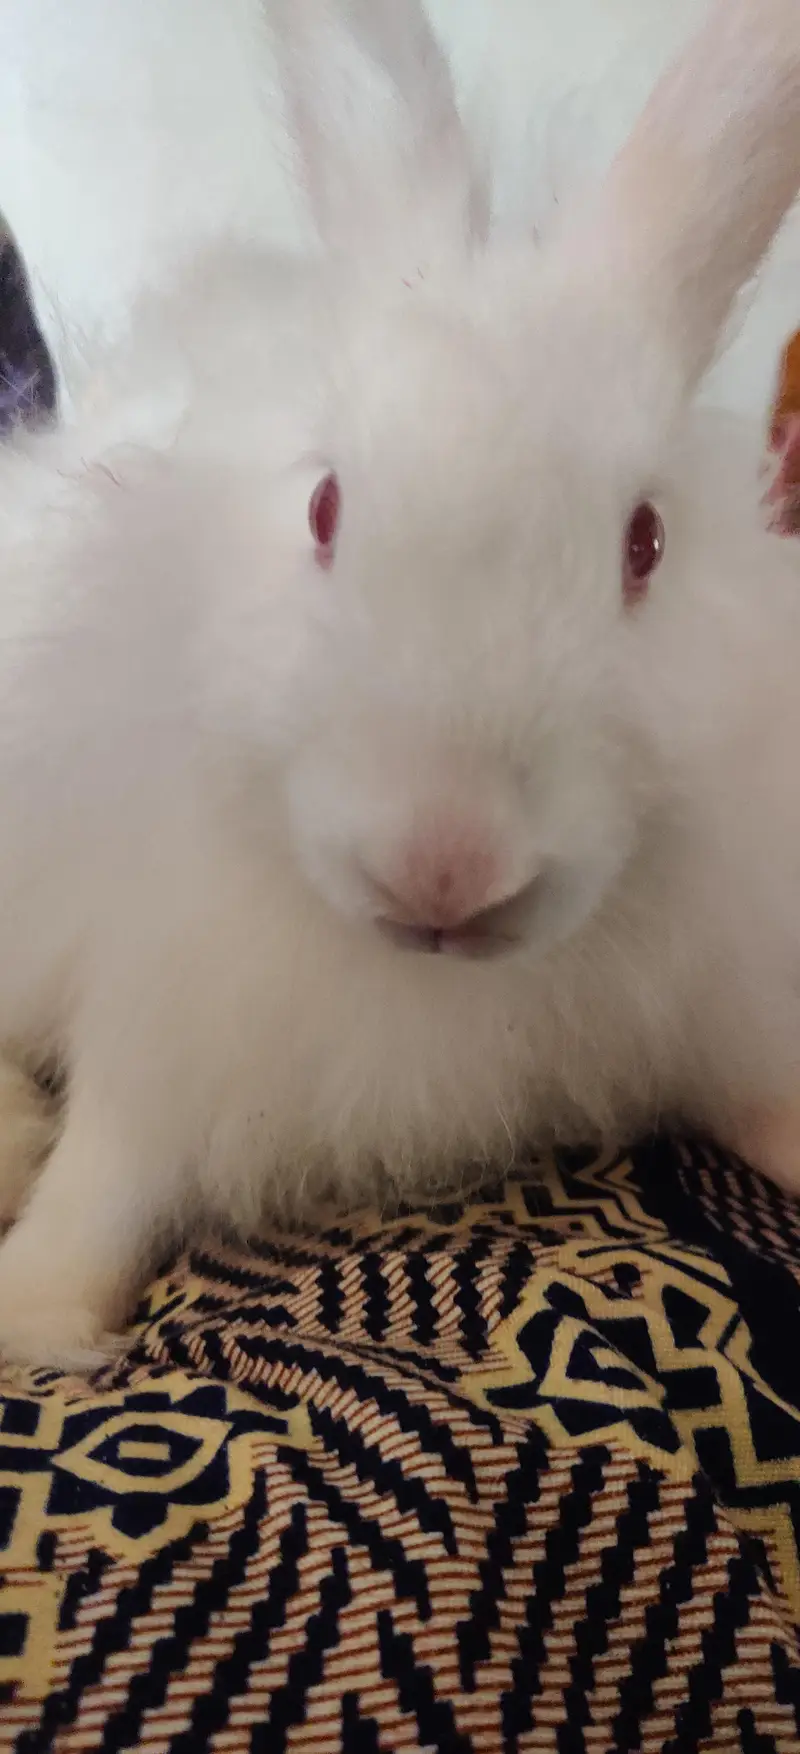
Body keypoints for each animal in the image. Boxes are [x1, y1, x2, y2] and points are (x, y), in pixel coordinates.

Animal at [1, 0, 800, 1370]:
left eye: (644, 541)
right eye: (324, 507)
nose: (445, 867)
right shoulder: (157, 994)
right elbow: (108, 1167)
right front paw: (36, 1316)